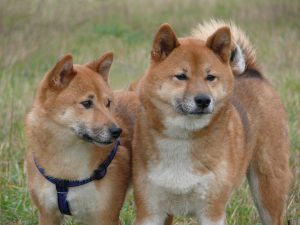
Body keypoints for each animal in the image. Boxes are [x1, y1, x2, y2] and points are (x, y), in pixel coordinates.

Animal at [131, 20, 290, 224]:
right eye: (181, 76)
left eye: (210, 77)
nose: (203, 100)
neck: (182, 140)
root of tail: (253, 72)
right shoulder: (150, 211)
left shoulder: (211, 211)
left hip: (269, 187)